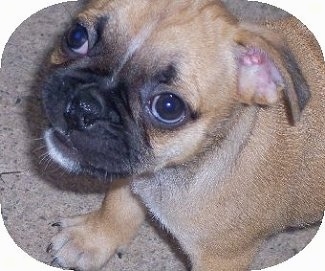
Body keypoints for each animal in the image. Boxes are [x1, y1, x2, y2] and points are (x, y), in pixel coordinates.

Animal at [41, 0, 322, 270]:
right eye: (76, 36)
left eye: (168, 106)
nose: (84, 106)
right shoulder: (131, 166)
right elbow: (119, 202)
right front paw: (91, 239)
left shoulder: (221, 258)